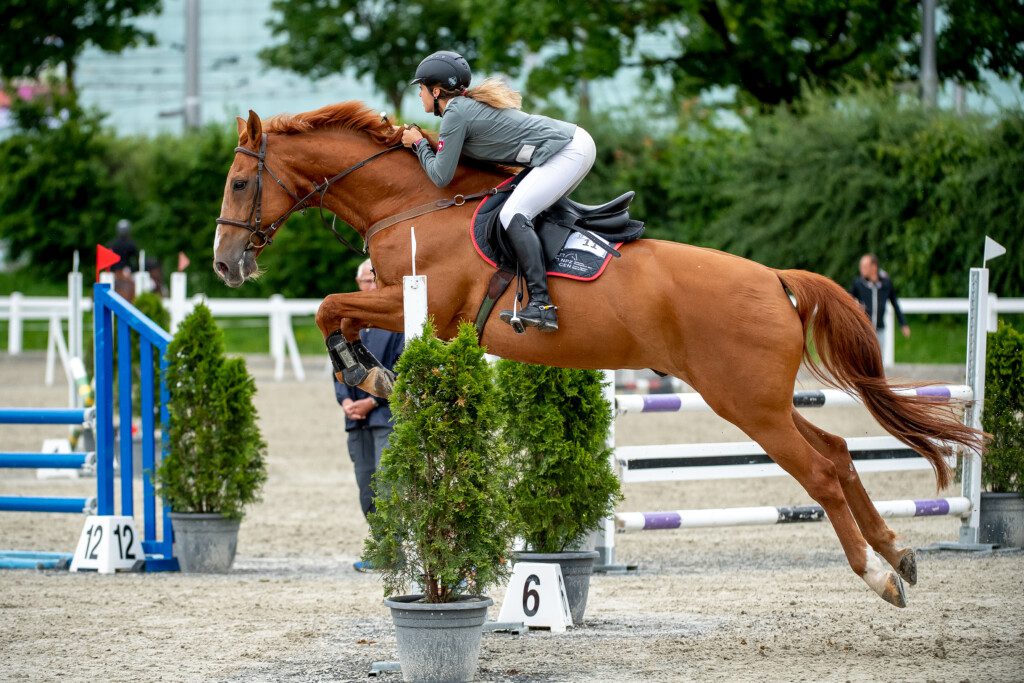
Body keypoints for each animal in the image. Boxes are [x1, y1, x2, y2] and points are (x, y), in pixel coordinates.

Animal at [214, 102, 983, 610]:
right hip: (763, 400)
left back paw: (880, 575)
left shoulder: (424, 310)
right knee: (840, 451)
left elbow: (328, 307)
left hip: (747, 403)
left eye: (241, 183)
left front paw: (363, 368)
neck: (412, 202)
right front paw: (361, 368)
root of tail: (775, 279)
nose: (225, 264)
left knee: (821, 470)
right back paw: (899, 551)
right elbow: (331, 311)